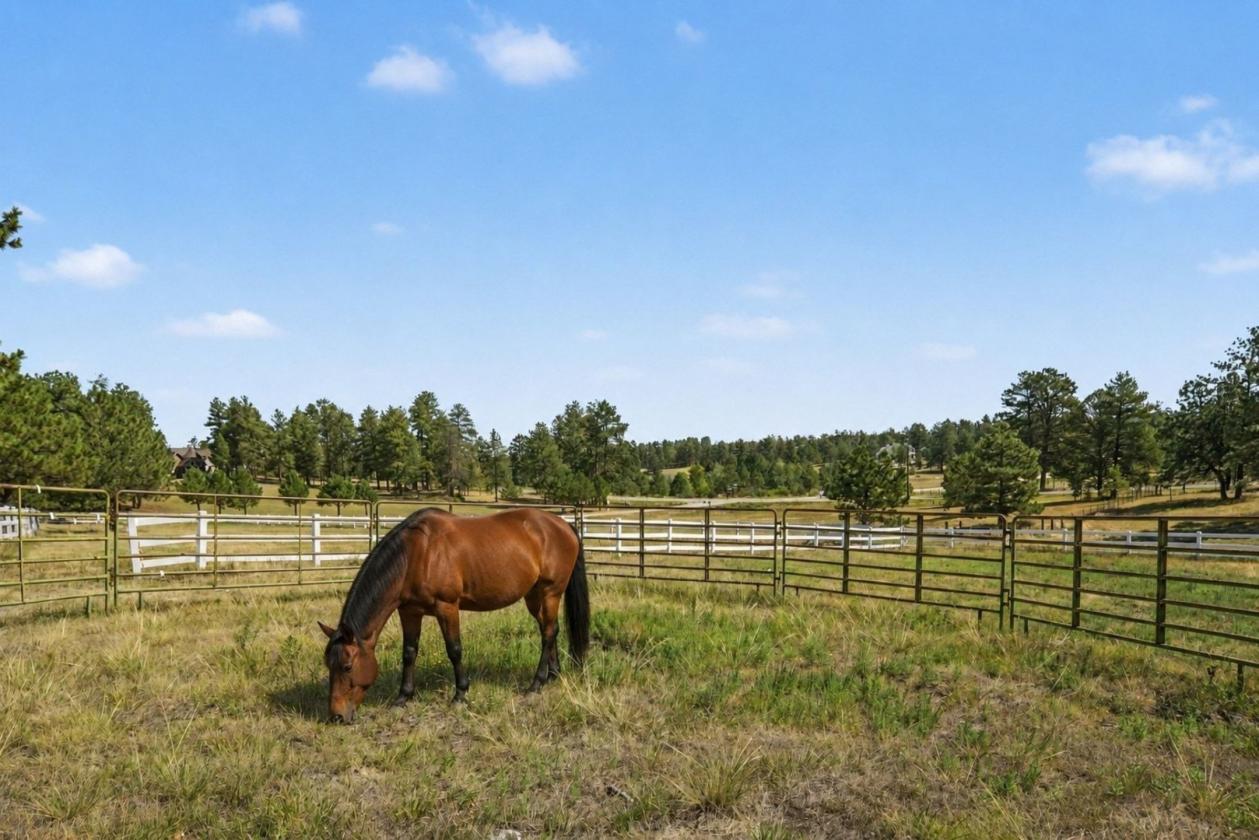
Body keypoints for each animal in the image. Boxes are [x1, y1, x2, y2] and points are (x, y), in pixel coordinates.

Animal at [317, 506, 588, 723]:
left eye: (347, 666)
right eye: (328, 664)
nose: (336, 716)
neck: (416, 553)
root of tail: (563, 524)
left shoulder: (446, 607)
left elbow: (454, 650)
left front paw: (460, 695)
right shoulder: (409, 611)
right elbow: (409, 653)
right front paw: (402, 698)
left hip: (550, 592)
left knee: (549, 632)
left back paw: (536, 683)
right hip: (533, 596)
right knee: (549, 630)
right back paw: (553, 675)